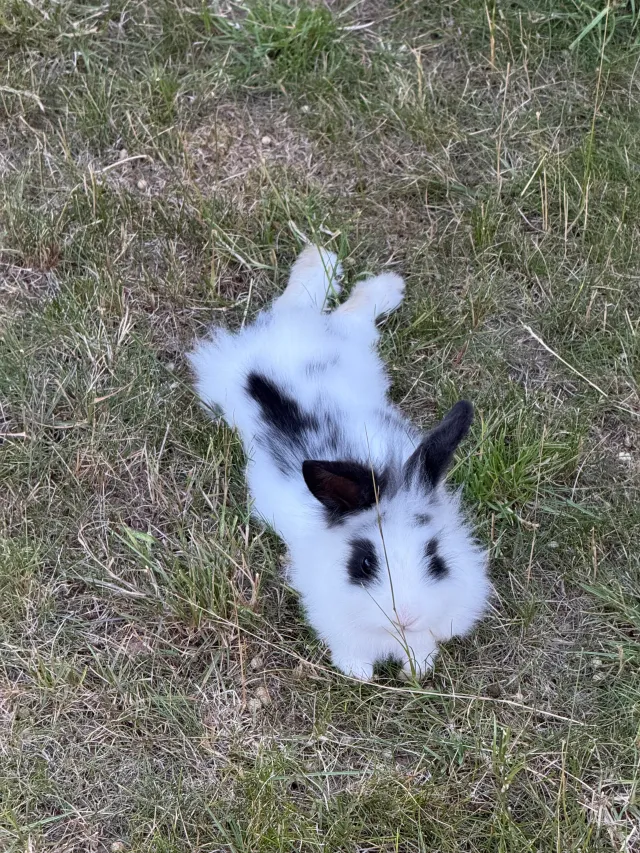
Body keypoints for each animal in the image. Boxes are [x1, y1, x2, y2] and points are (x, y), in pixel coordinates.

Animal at [188, 245, 489, 680]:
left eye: (436, 559)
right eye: (363, 563)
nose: (406, 617)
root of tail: (285, 333)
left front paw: (415, 671)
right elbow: (351, 652)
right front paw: (360, 673)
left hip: (353, 345)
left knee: (347, 311)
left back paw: (375, 282)